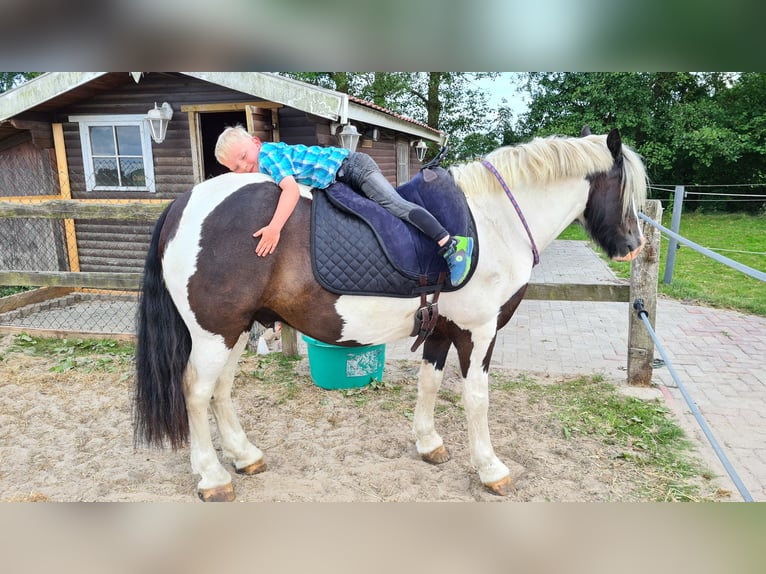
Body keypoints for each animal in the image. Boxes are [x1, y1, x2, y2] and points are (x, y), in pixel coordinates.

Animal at [136, 128, 648, 502]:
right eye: (624, 188)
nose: (633, 246)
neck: (494, 221)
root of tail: (182, 204)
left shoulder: (442, 328)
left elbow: (429, 383)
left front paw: (429, 444)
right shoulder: (479, 333)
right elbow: (477, 399)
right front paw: (491, 468)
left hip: (236, 329)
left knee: (221, 390)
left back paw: (243, 456)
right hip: (214, 333)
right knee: (196, 392)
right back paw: (212, 477)